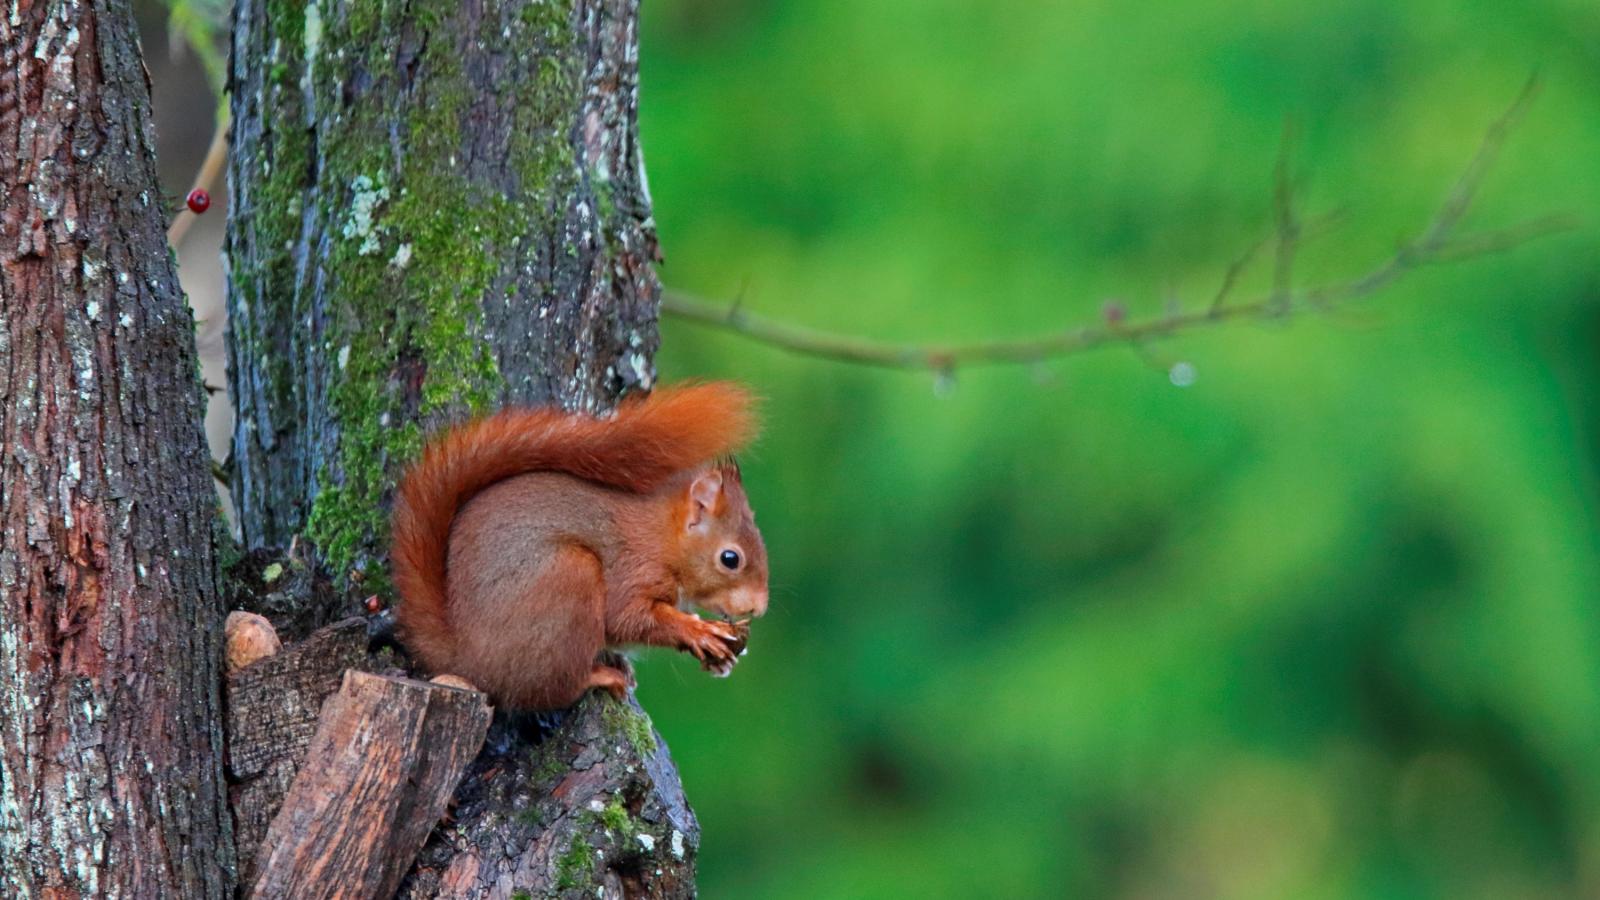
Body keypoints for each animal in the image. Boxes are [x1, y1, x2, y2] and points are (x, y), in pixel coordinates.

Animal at [384, 377, 764, 707]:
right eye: (730, 559)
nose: (758, 608)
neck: (662, 538)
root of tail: (464, 657)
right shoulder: (633, 567)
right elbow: (628, 618)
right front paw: (698, 630)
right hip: (570, 579)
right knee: (550, 689)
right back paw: (601, 676)